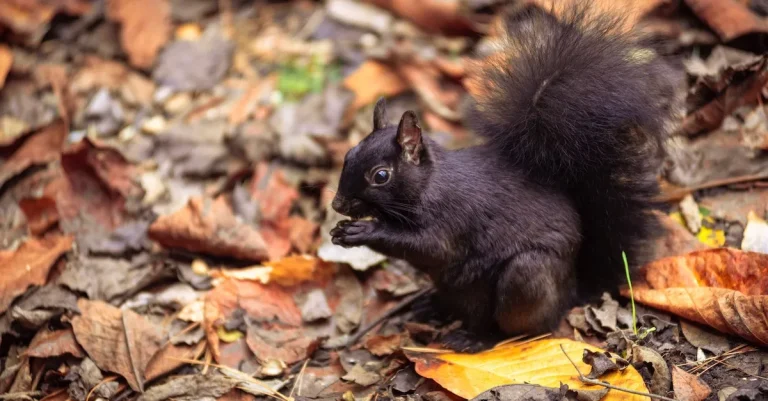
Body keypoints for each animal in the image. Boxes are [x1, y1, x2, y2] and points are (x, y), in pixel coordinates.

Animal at [330, 4, 680, 346]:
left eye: (381, 176)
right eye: (348, 155)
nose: (337, 205)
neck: (429, 185)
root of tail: (572, 291)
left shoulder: (451, 220)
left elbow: (428, 246)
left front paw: (362, 231)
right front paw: (341, 231)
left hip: (525, 277)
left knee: (519, 327)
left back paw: (476, 339)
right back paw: (431, 306)